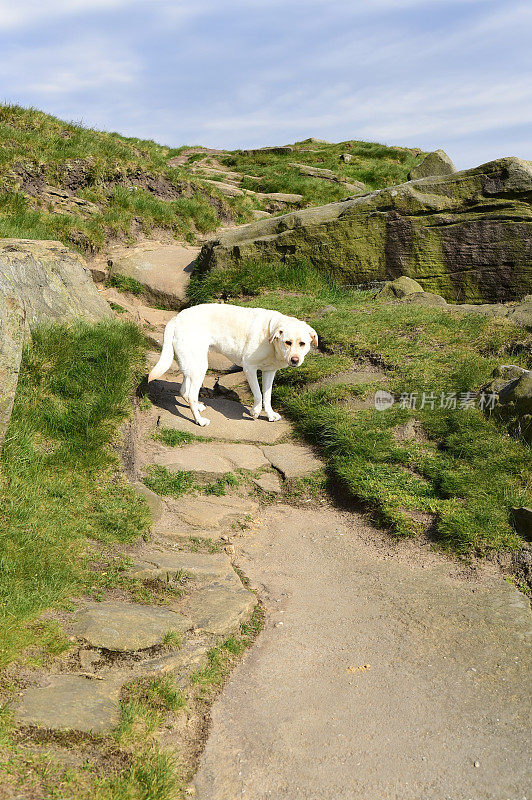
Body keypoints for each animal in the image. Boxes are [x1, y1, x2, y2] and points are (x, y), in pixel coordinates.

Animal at [148, 304, 318, 424]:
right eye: (288, 342)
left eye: (302, 343)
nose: (295, 360)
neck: (270, 335)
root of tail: (176, 318)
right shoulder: (249, 367)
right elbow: (258, 394)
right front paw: (255, 411)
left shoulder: (269, 372)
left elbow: (267, 396)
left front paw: (270, 414)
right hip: (199, 366)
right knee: (191, 395)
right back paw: (199, 421)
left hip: (191, 365)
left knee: (184, 391)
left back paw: (198, 408)